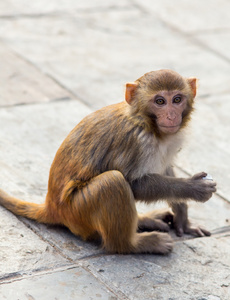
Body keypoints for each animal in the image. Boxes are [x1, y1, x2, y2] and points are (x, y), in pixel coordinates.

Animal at [0, 69, 216, 253]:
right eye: (160, 101)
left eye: (177, 99)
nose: (171, 116)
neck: (147, 123)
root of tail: (52, 207)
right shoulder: (135, 141)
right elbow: (134, 184)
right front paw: (193, 188)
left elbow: (165, 169)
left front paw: (183, 219)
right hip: (78, 211)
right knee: (113, 181)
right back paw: (133, 244)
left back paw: (144, 221)